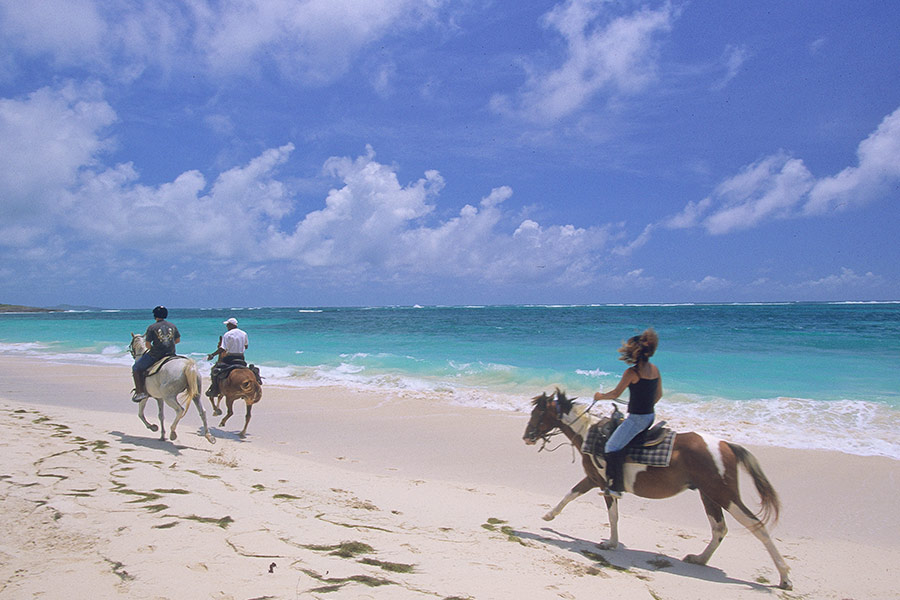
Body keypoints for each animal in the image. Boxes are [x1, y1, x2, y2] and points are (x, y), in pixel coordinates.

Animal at [524, 390, 792, 592]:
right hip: (709, 494)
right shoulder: (594, 480)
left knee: (756, 525)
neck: (590, 434)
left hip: (724, 495)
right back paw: (699, 559)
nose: (527, 436)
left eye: (538, 413)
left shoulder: (601, 482)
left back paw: (784, 577)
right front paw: (550, 516)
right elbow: (573, 495)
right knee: (719, 528)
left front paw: (609, 542)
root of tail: (725, 444)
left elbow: (609, 512)